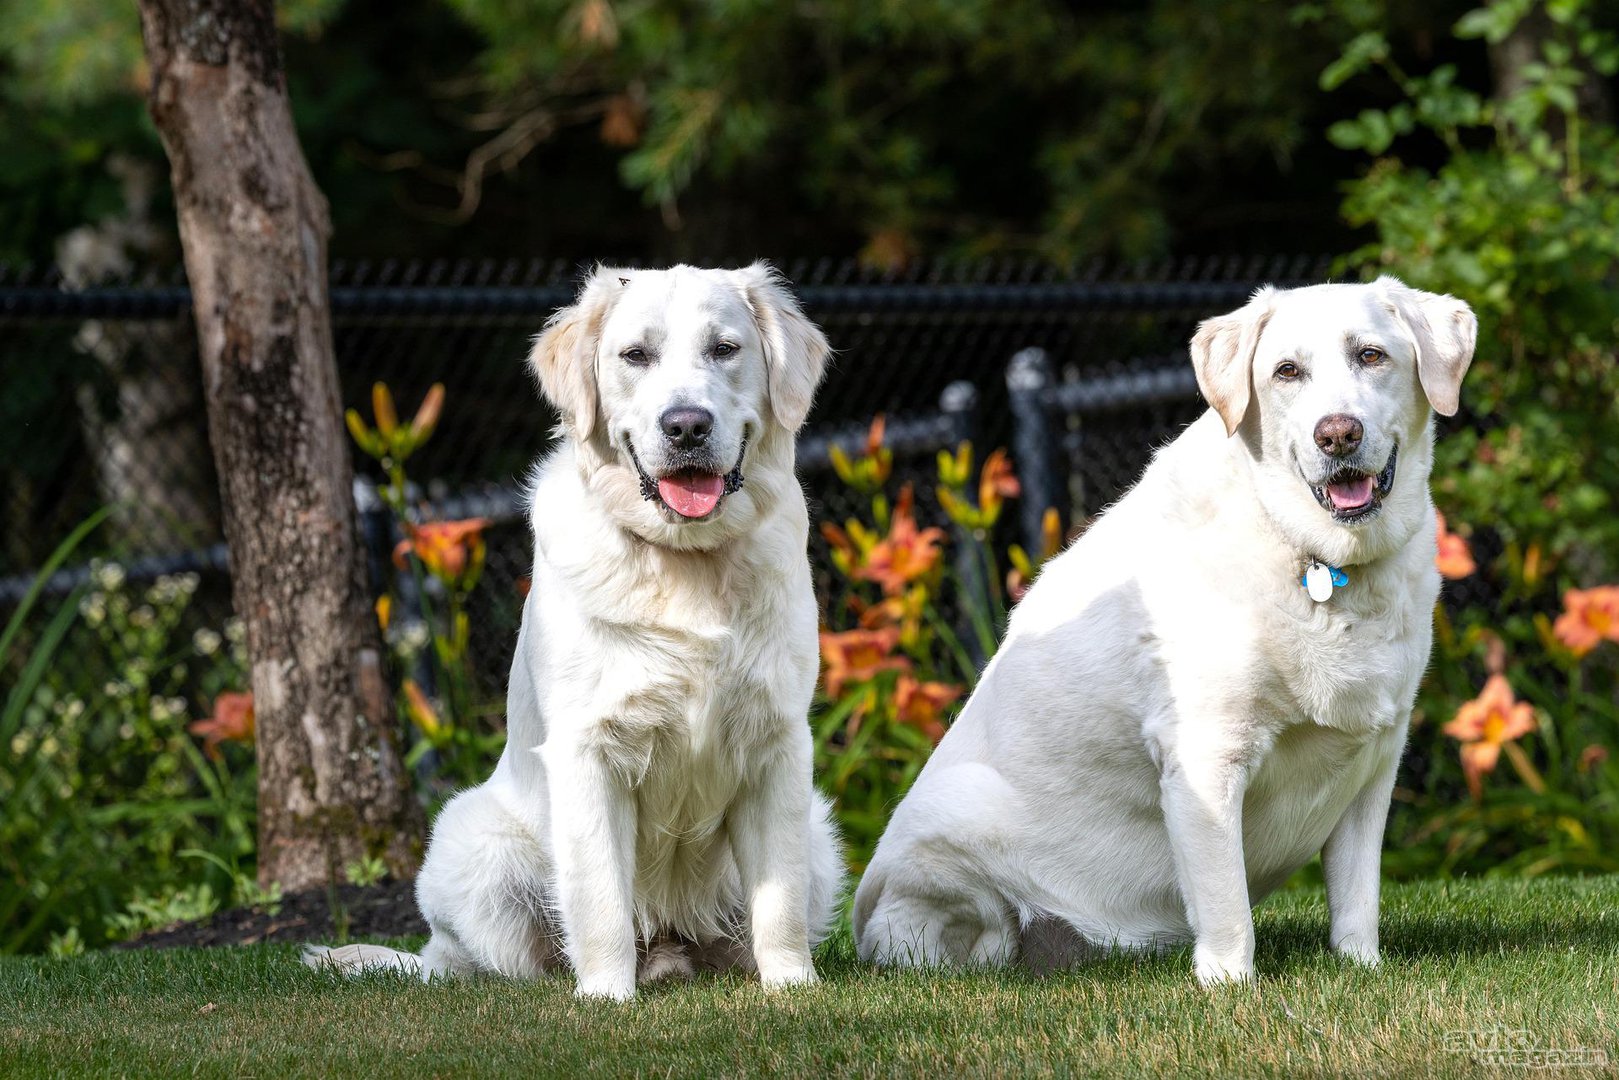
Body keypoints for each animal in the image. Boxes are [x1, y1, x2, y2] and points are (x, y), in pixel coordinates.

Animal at [312, 265, 848, 1003]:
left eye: (725, 349)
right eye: (635, 356)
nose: (685, 425)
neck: (685, 564)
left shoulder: (778, 746)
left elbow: (780, 899)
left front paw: (792, 988)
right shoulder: (588, 750)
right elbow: (599, 898)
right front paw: (605, 997)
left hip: (820, 832)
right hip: (471, 843)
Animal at [854, 275, 1476, 984]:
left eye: (1372, 356)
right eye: (1287, 371)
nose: (1337, 434)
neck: (1315, 558)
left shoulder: (1373, 764)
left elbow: (1357, 899)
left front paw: (1361, 970)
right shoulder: (1207, 757)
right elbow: (1227, 905)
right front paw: (1230, 988)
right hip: (950, 828)